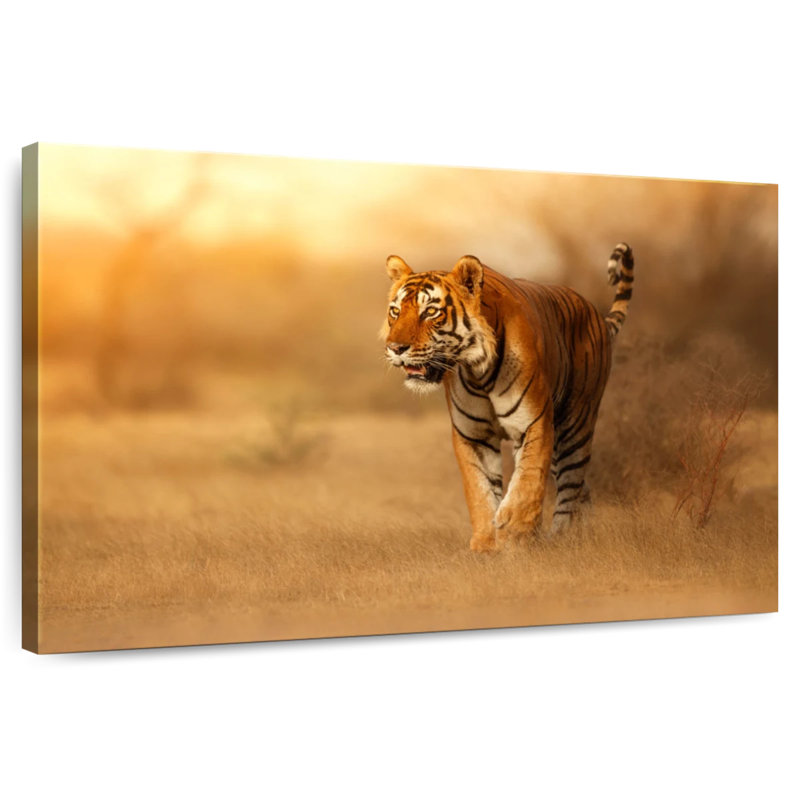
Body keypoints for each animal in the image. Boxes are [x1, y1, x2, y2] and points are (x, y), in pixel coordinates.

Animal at [381, 242, 634, 552]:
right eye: (395, 311)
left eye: (430, 312)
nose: (395, 348)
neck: (478, 370)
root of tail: (595, 313)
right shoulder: (473, 435)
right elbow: (480, 490)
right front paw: (486, 544)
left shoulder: (534, 422)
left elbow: (527, 481)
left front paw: (515, 533)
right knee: (580, 489)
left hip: (575, 426)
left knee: (570, 485)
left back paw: (561, 538)